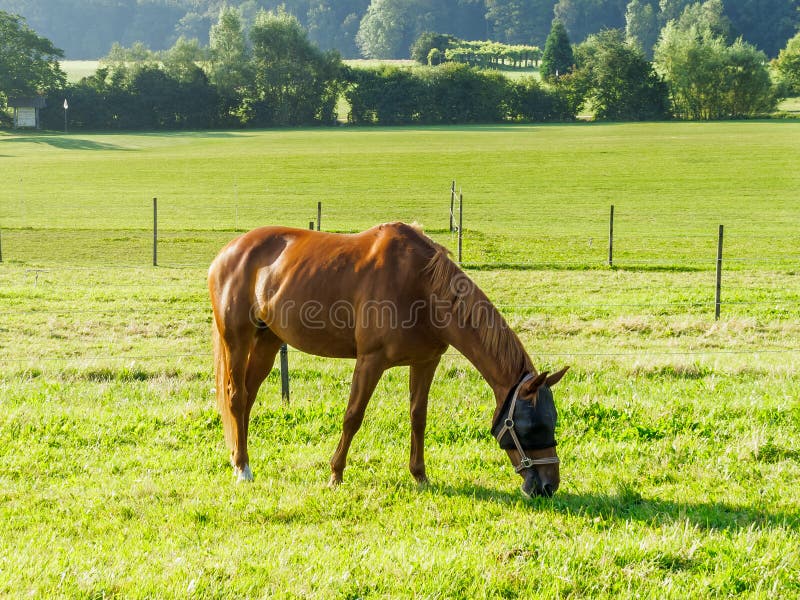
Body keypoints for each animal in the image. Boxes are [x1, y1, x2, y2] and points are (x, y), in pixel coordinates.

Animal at [208, 223, 568, 494]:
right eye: (532, 425)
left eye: (551, 421)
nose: (548, 486)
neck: (422, 287)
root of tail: (228, 252)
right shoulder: (370, 361)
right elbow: (353, 416)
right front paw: (335, 474)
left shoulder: (426, 362)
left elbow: (418, 417)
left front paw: (420, 475)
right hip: (237, 339)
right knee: (236, 396)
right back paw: (242, 468)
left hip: (268, 341)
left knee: (248, 397)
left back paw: (241, 458)